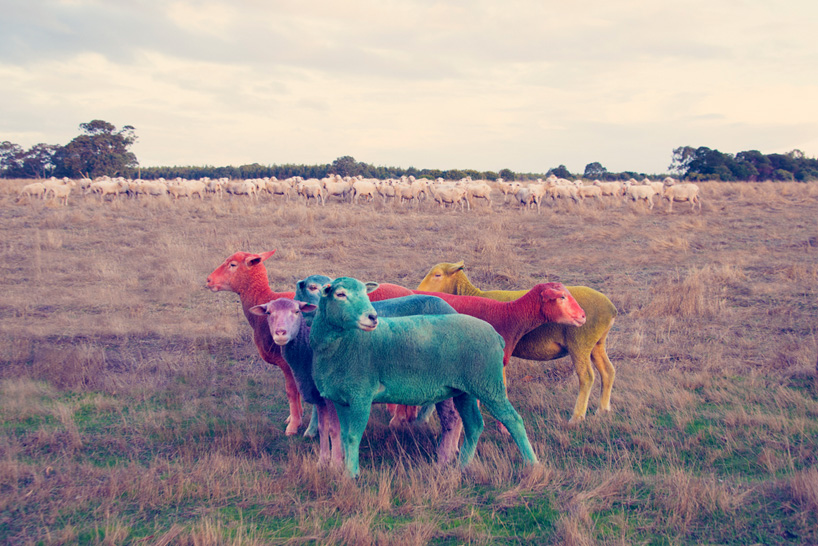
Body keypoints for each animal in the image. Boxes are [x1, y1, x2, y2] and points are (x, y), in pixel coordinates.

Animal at [309, 277, 539, 477]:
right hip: (465, 389)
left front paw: (350, 475)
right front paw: (345, 470)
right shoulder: (341, 399)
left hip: (488, 384)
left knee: (513, 420)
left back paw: (532, 464)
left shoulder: (361, 396)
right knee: (474, 425)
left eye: (367, 293)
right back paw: (462, 467)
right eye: (340, 294)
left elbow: (352, 436)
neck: (344, 344)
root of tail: (495, 334)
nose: (373, 317)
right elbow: (344, 435)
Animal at [417, 261, 617, 424]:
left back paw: (577, 417)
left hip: (580, 343)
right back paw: (602, 410)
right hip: (597, 343)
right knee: (608, 371)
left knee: (586, 377)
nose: (418, 290)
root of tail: (611, 308)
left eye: (437, 275)